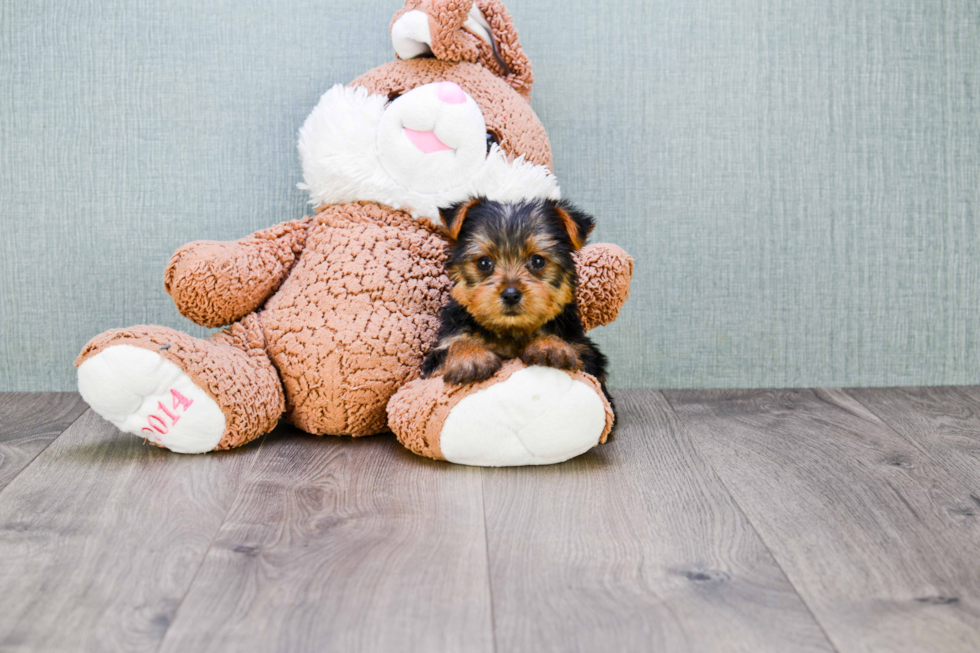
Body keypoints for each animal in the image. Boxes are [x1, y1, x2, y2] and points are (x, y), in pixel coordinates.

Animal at [422, 195, 612, 408]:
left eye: (538, 261)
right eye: (484, 263)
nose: (511, 294)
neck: (510, 331)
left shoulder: (584, 352)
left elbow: (578, 357)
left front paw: (550, 345)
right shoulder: (437, 355)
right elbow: (453, 345)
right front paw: (469, 356)